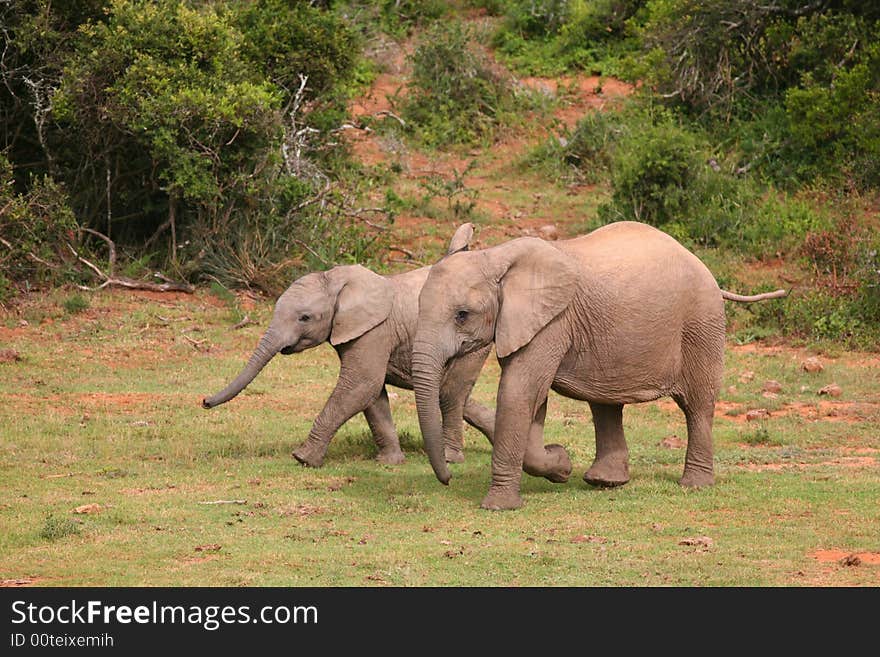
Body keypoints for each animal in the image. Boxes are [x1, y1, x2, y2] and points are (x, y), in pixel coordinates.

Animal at [203, 224, 498, 466]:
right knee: (453, 394)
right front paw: (389, 462)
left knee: (450, 393)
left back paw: (451, 459)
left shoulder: (374, 331)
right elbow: (373, 395)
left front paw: (302, 458)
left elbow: (361, 384)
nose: (204, 401)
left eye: (304, 317)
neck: (336, 280)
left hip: (472, 339)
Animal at [412, 220, 792, 508]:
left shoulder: (553, 321)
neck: (494, 256)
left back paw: (694, 485)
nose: (448, 478)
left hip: (702, 322)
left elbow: (519, 391)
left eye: (462, 315)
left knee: (697, 405)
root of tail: (708, 271)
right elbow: (533, 399)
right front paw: (560, 465)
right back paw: (604, 482)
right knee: (606, 403)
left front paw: (501, 505)